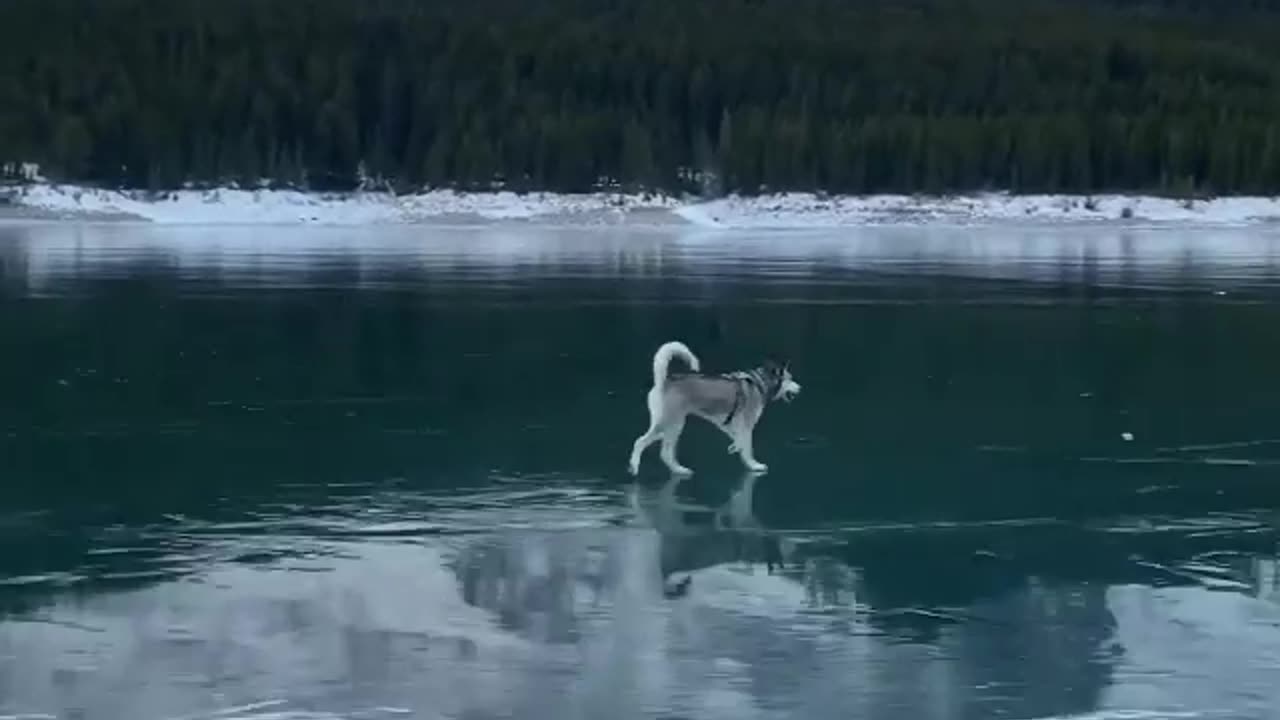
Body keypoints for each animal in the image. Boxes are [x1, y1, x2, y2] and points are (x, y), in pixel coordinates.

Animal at [627, 338, 798, 474]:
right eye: (790, 379)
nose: (800, 388)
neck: (760, 383)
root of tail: (662, 382)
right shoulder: (746, 425)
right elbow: (747, 447)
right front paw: (753, 465)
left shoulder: (728, 424)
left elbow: (739, 440)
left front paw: (734, 448)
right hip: (673, 423)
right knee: (644, 443)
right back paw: (640, 467)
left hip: (669, 425)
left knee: (662, 448)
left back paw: (678, 469)